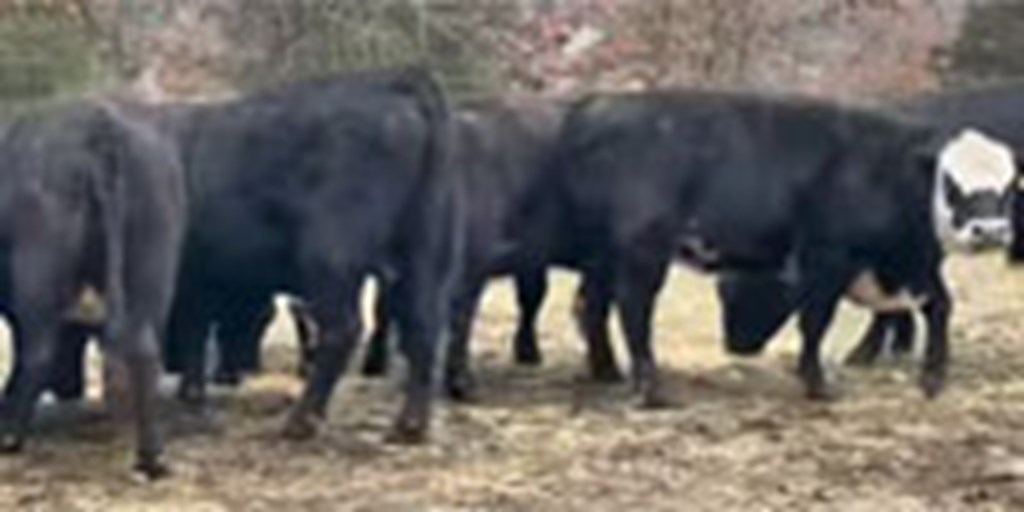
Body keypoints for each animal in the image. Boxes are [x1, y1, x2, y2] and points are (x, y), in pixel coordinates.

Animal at [0, 97, 188, 477]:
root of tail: (100, 125)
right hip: (151, 271)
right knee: (145, 350)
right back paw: (151, 457)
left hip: (37, 271)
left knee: (38, 350)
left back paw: (11, 436)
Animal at [544, 90, 1007, 405]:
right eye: (951, 185)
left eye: (1007, 188)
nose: (990, 230)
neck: (885, 169)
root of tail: (597, 104)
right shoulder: (826, 259)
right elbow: (816, 320)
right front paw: (816, 383)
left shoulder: (913, 264)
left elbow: (938, 306)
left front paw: (934, 378)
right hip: (642, 252)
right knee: (634, 310)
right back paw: (650, 388)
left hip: (604, 256)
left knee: (593, 306)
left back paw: (607, 372)